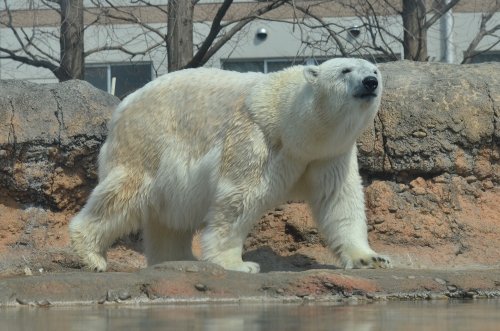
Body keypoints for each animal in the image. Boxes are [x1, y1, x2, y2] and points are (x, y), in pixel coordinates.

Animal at [69, 58, 390, 274]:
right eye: (345, 70)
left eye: (374, 70)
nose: (370, 82)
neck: (291, 123)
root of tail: (122, 107)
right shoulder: (255, 136)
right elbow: (239, 197)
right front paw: (239, 264)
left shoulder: (329, 155)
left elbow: (339, 200)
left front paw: (370, 258)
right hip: (147, 143)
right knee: (124, 196)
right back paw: (91, 256)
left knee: (170, 219)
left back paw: (179, 258)